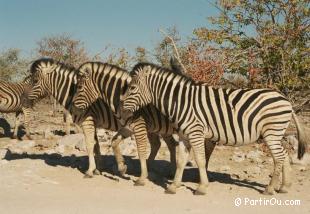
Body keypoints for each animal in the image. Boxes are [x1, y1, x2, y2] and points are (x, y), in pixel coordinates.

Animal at [26, 58, 183, 182]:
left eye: (34, 81)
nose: (24, 100)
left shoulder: (88, 121)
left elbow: (90, 145)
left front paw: (90, 171)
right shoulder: (94, 123)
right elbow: (96, 145)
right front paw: (99, 168)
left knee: (166, 144)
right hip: (158, 127)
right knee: (165, 144)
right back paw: (165, 171)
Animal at [70, 61, 216, 185]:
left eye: (79, 87)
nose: (73, 110)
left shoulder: (139, 126)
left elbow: (141, 150)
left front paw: (142, 176)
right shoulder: (128, 127)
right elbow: (114, 141)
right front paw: (122, 167)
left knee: (207, 148)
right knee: (171, 144)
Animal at [120, 62, 308, 195]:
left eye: (132, 88)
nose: (122, 112)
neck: (181, 103)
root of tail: (285, 100)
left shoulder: (195, 133)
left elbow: (201, 160)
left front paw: (202, 188)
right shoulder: (184, 136)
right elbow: (181, 161)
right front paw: (173, 187)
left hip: (271, 133)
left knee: (279, 157)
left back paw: (269, 189)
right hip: (275, 134)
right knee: (284, 155)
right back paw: (284, 187)